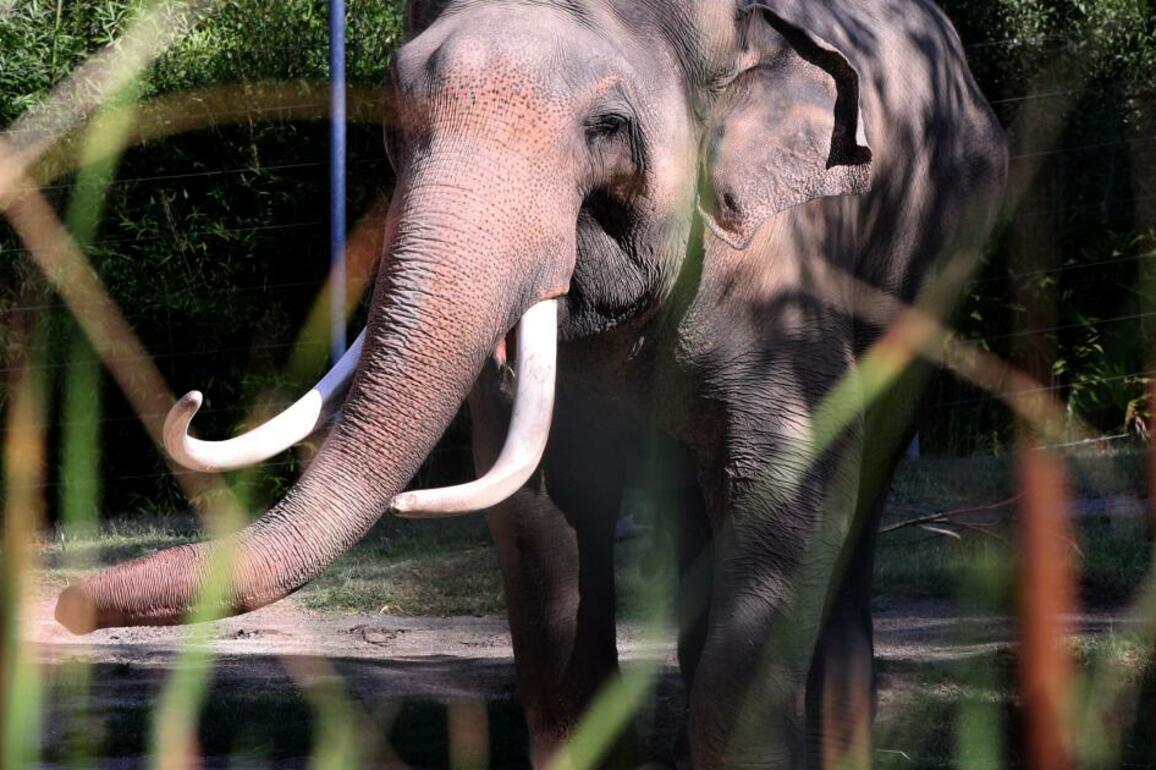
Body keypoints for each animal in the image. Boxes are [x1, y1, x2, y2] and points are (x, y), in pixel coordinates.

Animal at [55, 0, 1007, 766]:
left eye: (609, 126)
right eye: (394, 114)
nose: (65, 602)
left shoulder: (780, 271)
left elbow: (789, 481)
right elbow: (540, 512)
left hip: (939, 270)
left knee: (861, 497)